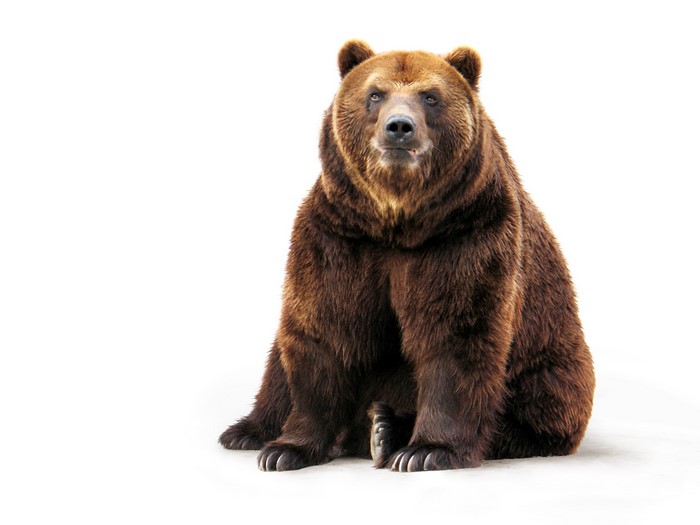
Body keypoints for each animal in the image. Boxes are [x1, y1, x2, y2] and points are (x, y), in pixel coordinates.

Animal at [219, 40, 595, 472]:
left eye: (430, 96)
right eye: (375, 93)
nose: (399, 126)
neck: (397, 221)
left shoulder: (465, 236)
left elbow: (455, 336)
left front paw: (427, 450)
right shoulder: (339, 236)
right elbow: (324, 329)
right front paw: (286, 449)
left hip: (551, 361)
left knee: (535, 404)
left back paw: (386, 428)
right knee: (278, 363)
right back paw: (248, 431)